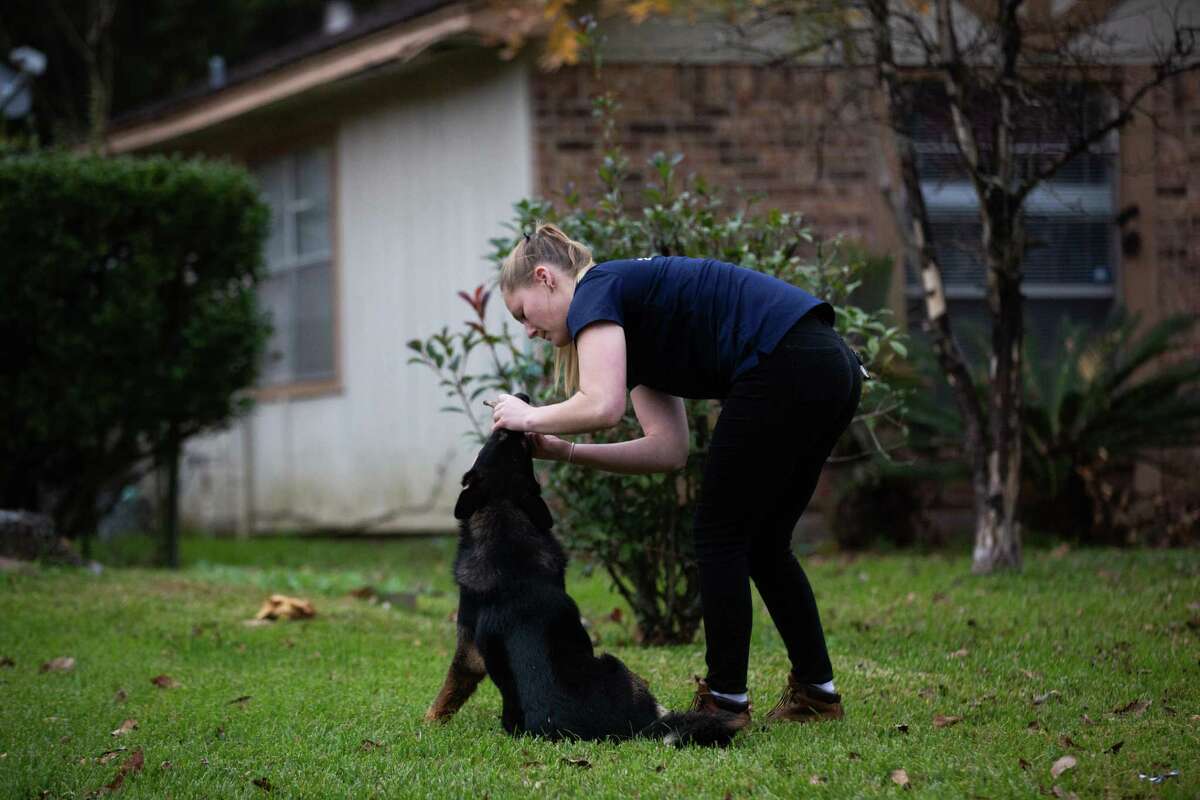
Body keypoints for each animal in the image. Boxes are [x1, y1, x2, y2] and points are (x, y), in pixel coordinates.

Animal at [427, 402, 744, 748]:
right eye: (503, 438)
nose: (518, 407)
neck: (503, 516)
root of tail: (634, 731)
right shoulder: (470, 649)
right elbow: (450, 689)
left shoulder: (468, 646)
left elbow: (450, 687)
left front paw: (429, 721)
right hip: (613, 662)